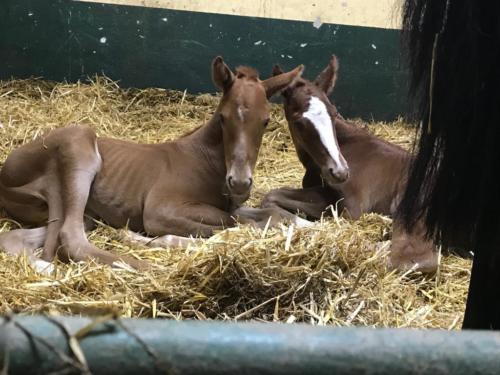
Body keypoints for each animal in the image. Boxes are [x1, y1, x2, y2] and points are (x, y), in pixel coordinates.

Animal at [0, 56, 304, 270]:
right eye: (223, 118)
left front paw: (305, 223)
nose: (239, 182)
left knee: (18, 238)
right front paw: (142, 240)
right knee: (71, 237)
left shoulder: (230, 205)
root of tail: (5, 173)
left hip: (80, 212)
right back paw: (143, 267)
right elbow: (232, 225)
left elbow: (268, 214)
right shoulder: (160, 211)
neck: (205, 160)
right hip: (79, 148)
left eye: (266, 121)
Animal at [262, 55, 438, 274]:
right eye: (299, 122)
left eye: (334, 113)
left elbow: (341, 227)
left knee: (412, 256)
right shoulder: (326, 195)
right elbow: (272, 196)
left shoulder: (353, 207)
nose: (340, 172)